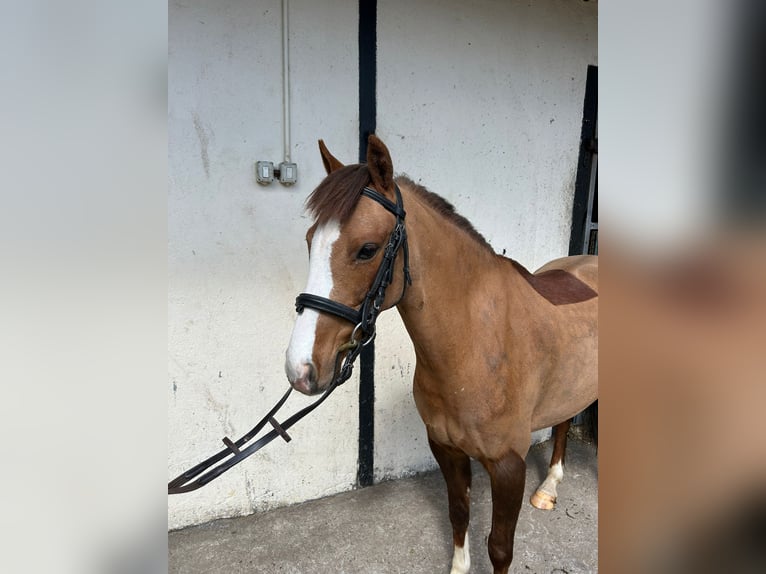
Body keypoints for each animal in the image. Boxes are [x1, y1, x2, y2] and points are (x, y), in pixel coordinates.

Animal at [284, 135, 598, 574]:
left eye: (367, 249)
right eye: (311, 240)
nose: (300, 368)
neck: (475, 344)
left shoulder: (508, 466)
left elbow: (499, 547)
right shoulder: (446, 449)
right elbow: (459, 513)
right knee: (566, 419)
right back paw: (549, 488)